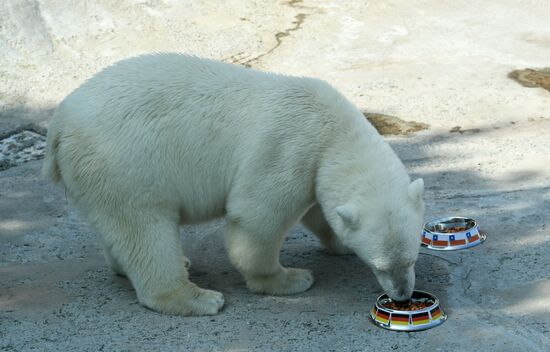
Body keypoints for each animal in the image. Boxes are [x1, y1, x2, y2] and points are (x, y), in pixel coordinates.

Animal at [44, 53, 426, 316]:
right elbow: (257, 217)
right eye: (382, 266)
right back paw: (197, 297)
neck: (334, 129)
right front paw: (291, 279)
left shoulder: (316, 165)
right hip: (123, 163)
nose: (403, 295)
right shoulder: (288, 147)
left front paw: (340, 243)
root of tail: (59, 125)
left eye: (411, 259)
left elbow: (319, 209)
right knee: (145, 229)